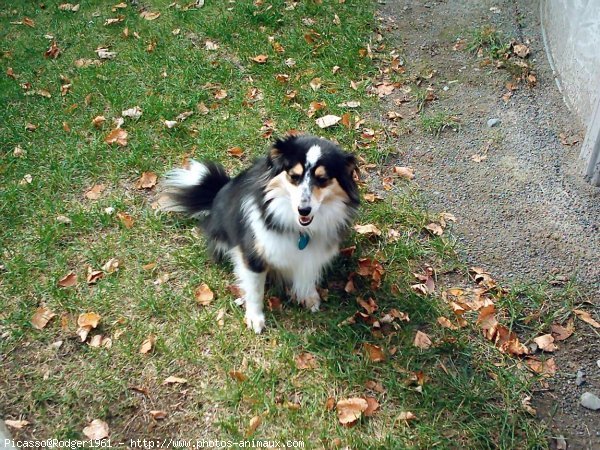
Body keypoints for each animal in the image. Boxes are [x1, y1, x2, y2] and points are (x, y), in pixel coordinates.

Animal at [158, 133, 360, 330]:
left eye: (323, 179)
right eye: (294, 176)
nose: (304, 210)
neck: (301, 230)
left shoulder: (312, 254)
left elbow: (308, 275)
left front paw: (308, 296)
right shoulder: (254, 255)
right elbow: (255, 290)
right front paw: (255, 318)